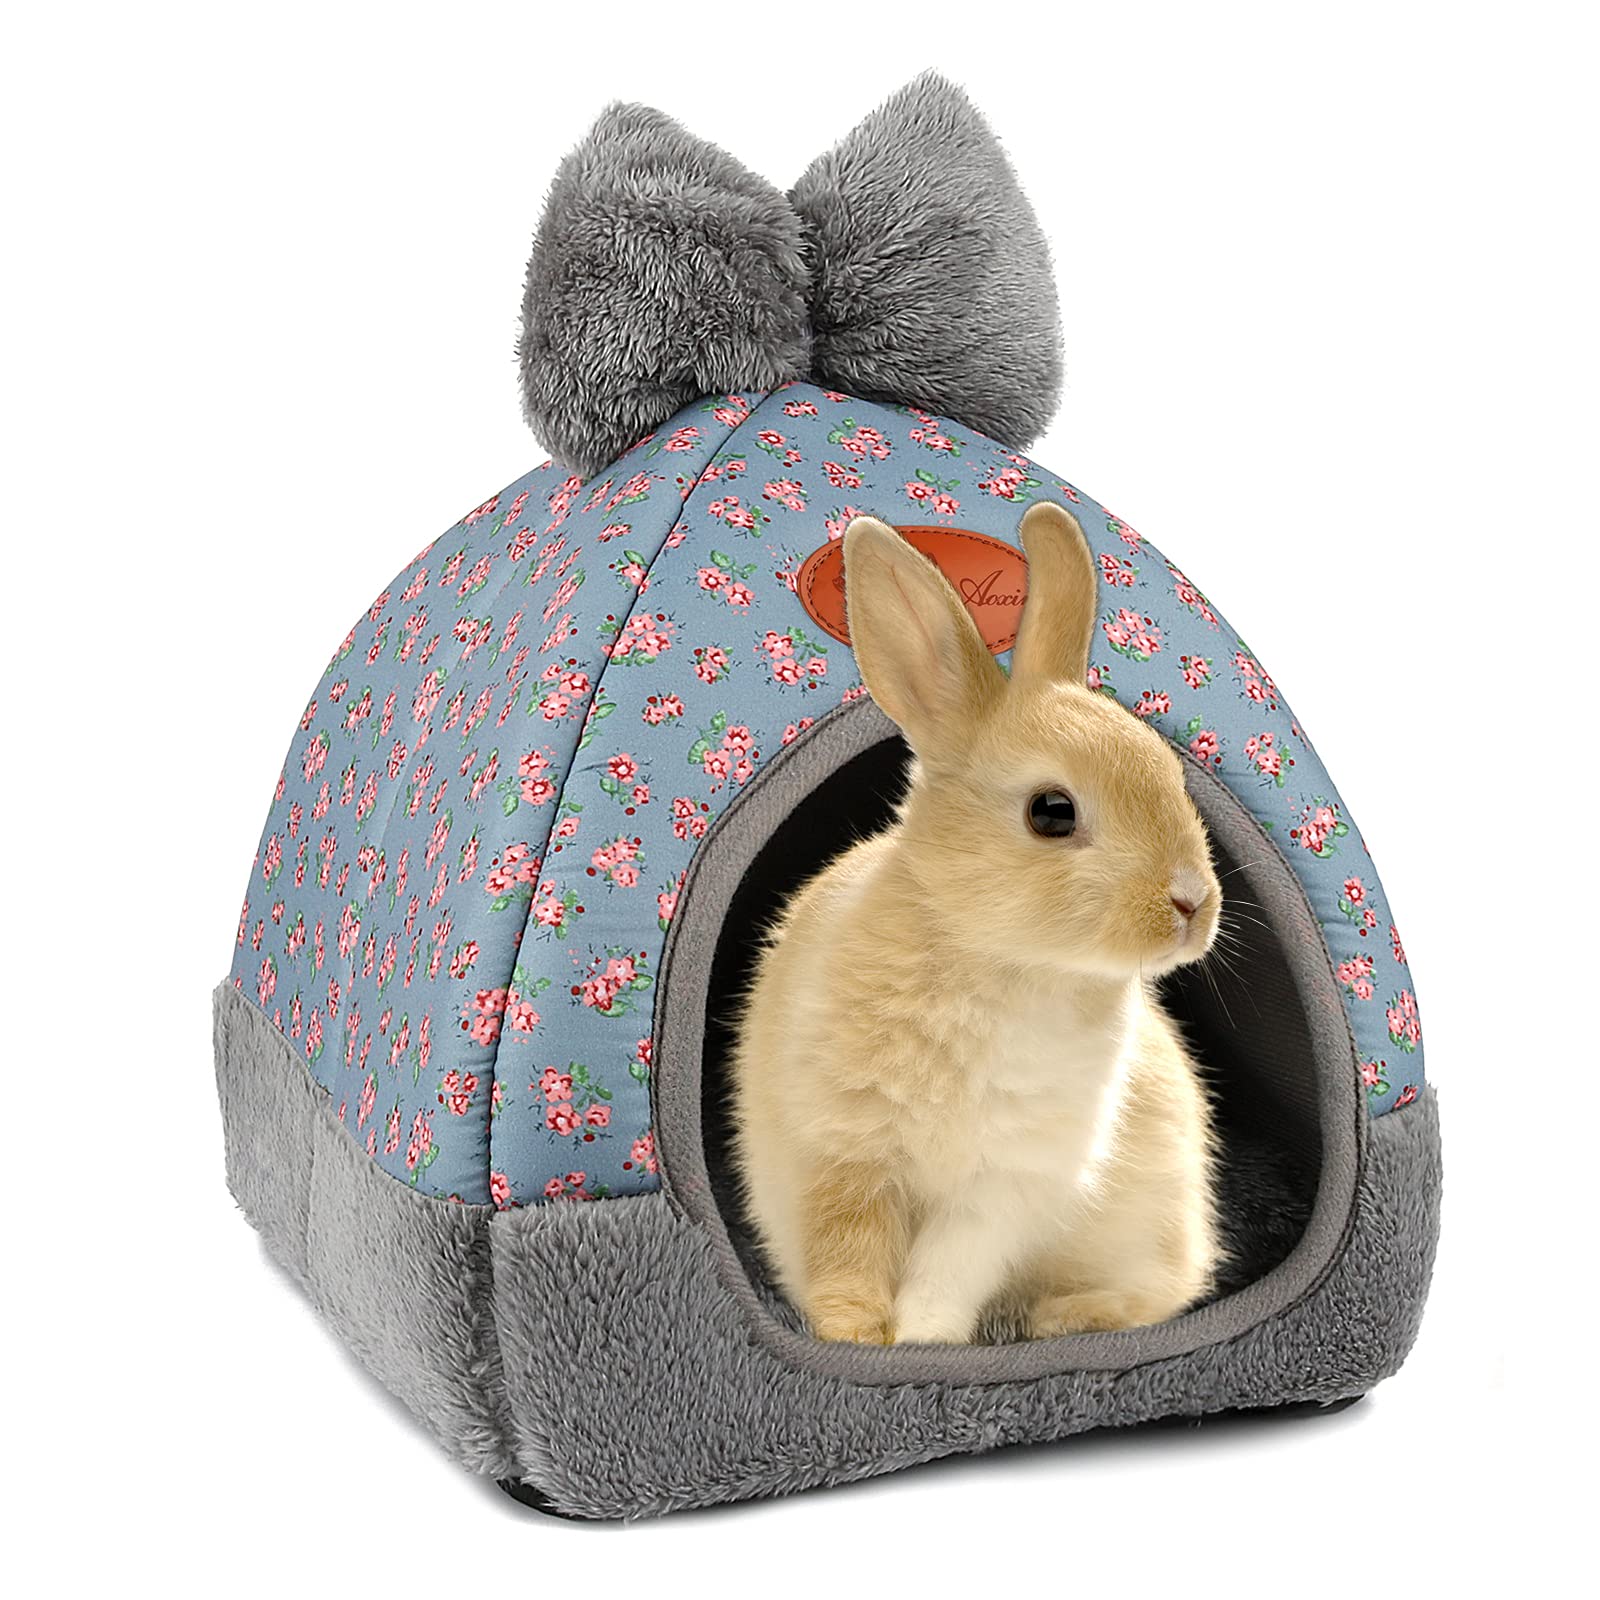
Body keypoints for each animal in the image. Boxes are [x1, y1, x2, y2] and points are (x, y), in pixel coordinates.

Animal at [727, 503, 1223, 1345]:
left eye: (1171, 775)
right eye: (1051, 811)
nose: (1191, 902)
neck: (1002, 964)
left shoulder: (999, 1191)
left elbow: (945, 1274)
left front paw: (923, 1341)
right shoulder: (847, 1152)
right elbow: (846, 1253)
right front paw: (853, 1336)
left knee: (1162, 1291)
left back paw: (1067, 1316)